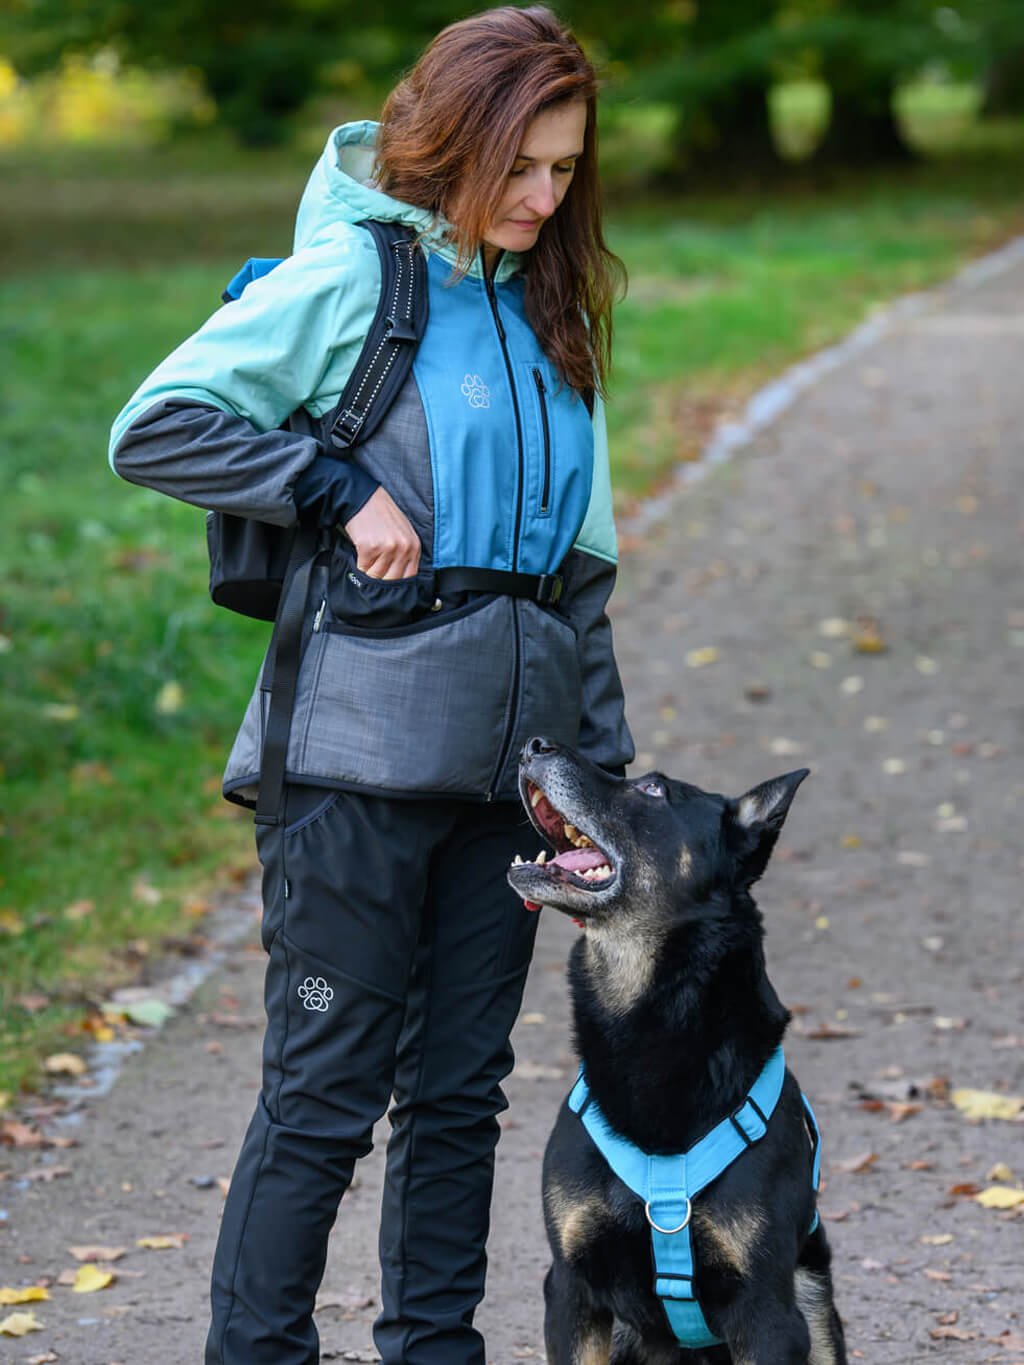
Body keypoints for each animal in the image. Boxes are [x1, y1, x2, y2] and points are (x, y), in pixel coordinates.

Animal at [507, 742, 851, 1359]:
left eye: (653, 790)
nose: (534, 744)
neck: (653, 1030)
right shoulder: (571, 1289)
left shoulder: (768, 1313)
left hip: (814, 1307)